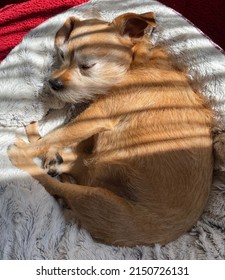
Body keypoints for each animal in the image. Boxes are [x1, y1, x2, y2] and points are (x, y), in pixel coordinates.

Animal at [7, 12, 214, 246]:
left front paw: (31, 150)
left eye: (87, 66)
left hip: (96, 199)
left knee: (57, 185)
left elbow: (59, 135)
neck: (135, 64)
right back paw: (53, 158)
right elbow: (61, 137)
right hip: (97, 172)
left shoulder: (95, 117)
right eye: (61, 55)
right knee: (76, 163)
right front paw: (49, 150)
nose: (53, 83)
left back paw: (23, 157)